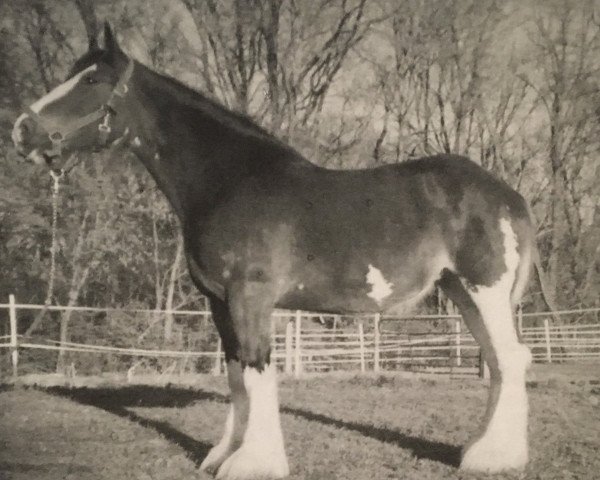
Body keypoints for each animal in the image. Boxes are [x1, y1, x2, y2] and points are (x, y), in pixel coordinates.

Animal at [10, 23, 536, 480]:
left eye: (91, 80)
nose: (20, 130)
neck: (229, 182)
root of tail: (509, 197)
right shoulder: (219, 302)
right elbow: (236, 375)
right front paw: (223, 454)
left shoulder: (251, 296)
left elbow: (258, 371)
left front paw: (253, 462)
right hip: (462, 292)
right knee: (498, 360)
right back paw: (482, 450)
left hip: (484, 289)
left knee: (509, 359)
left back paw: (493, 458)